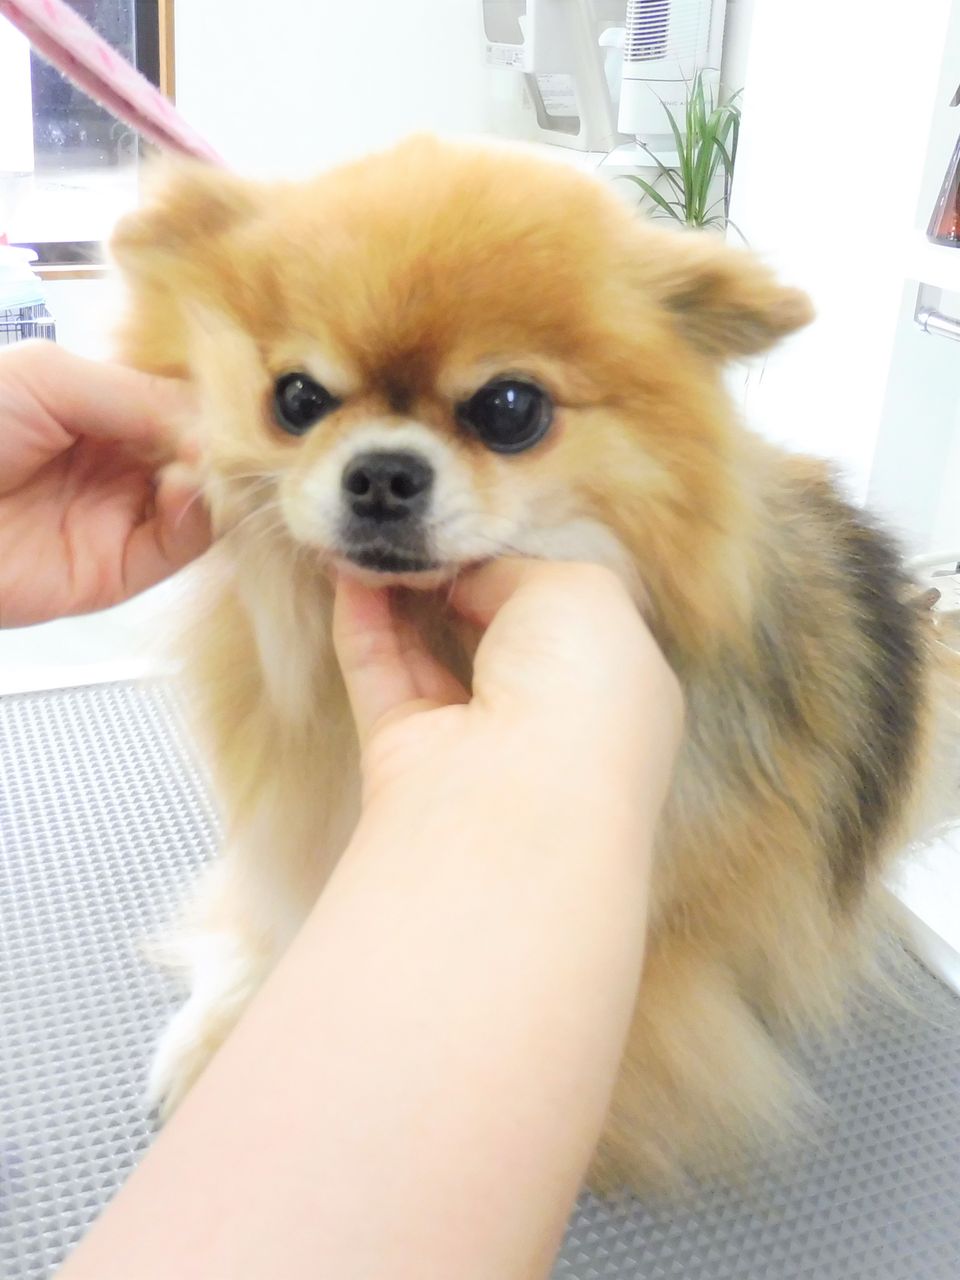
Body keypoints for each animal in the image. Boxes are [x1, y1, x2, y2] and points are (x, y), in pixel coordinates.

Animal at [112, 135, 942, 1190]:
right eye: (296, 399)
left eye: (509, 408)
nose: (382, 474)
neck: (439, 632)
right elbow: (273, 920)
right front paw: (221, 1020)